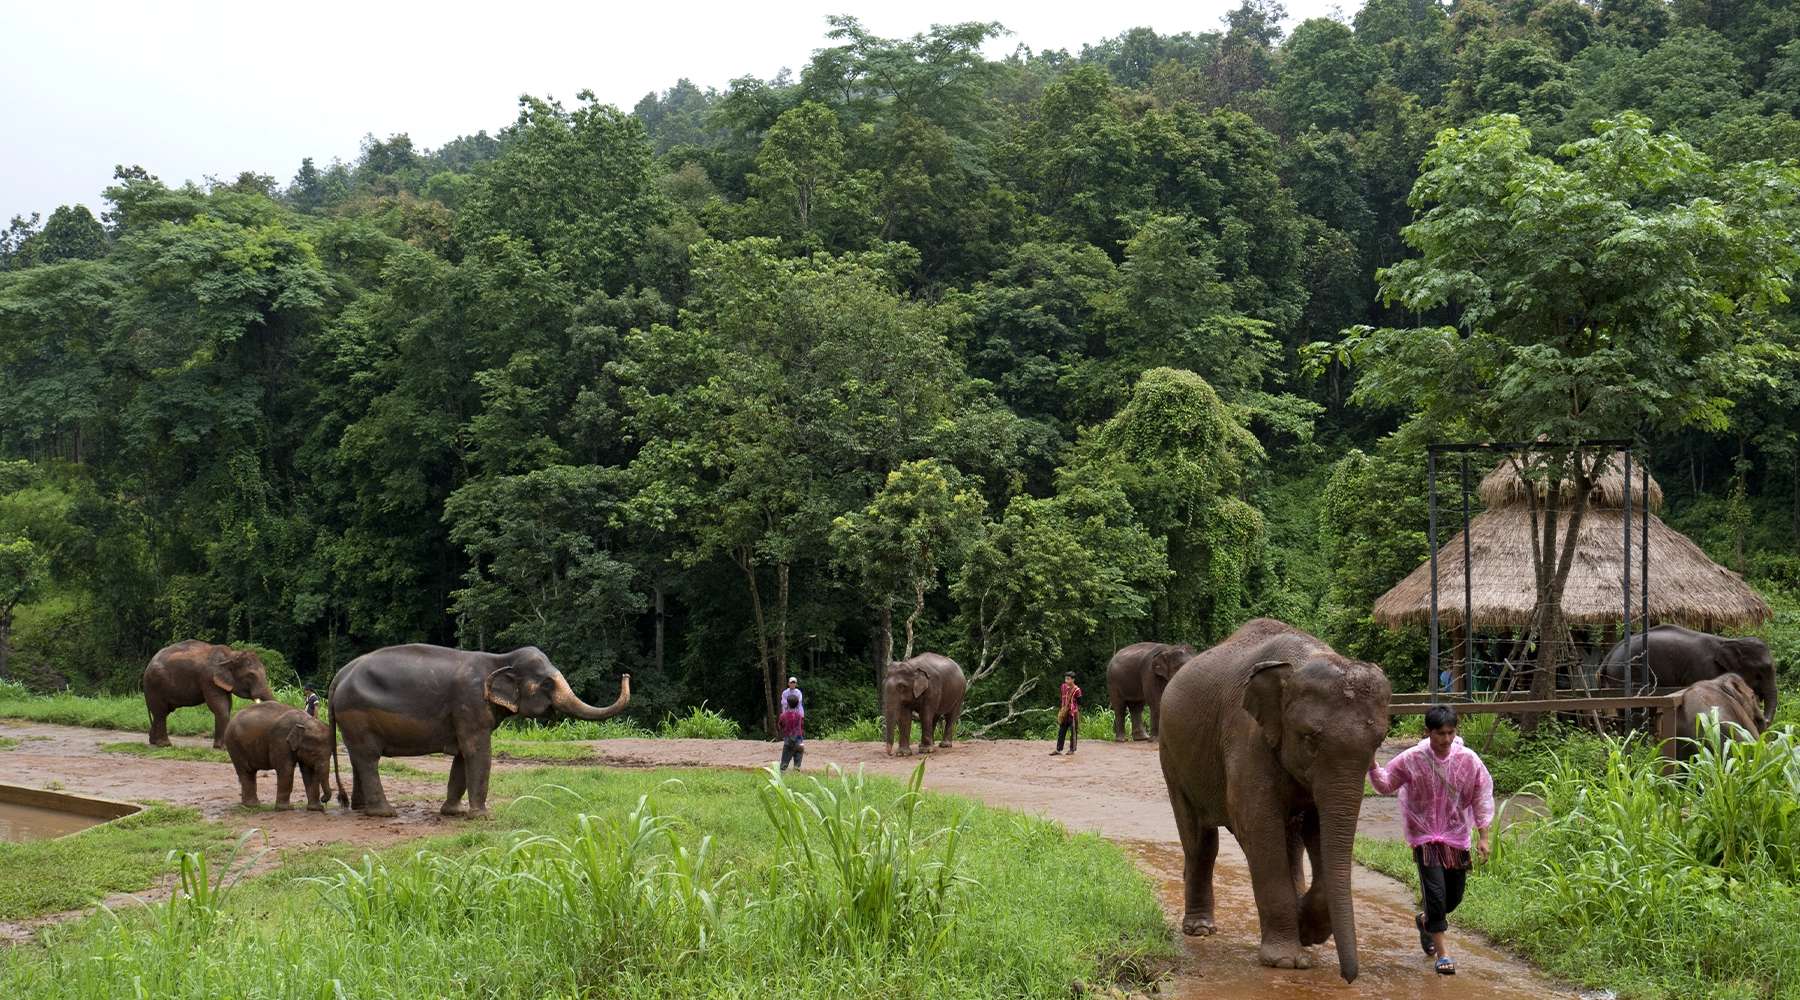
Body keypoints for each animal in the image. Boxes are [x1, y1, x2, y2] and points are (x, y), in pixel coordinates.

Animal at [142, 640, 276, 748]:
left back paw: (153, 742)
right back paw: (164, 745)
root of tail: (148, 665)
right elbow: (220, 707)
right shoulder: (208, 679)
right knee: (161, 713)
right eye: (250, 675)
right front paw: (223, 748)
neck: (230, 655)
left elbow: (228, 705)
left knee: (162, 712)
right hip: (154, 686)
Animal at [328, 644, 629, 817]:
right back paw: (385, 813)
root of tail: (339, 676)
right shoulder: (469, 702)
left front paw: (453, 812)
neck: (500, 659)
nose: (625, 675)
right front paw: (481, 816)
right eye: (546, 684)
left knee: (358, 758)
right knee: (368, 758)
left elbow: (463, 755)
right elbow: (477, 750)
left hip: (351, 719)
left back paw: (362, 809)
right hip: (356, 714)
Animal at [1158, 618, 1392, 983]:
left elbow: (1319, 830)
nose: (1349, 977)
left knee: (1290, 841)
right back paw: (1200, 929)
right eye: (1309, 738)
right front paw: (1287, 961)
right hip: (1172, 756)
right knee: (1200, 840)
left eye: (1380, 741)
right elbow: (1258, 826)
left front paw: (1308, 931)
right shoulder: (1247, 736)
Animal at [1600, 624, 1776, 728]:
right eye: (1760, 673)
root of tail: (1609, 655)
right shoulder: (1704, 669)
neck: (1728, 641)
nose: (1765, 720)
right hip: (1628, 675)